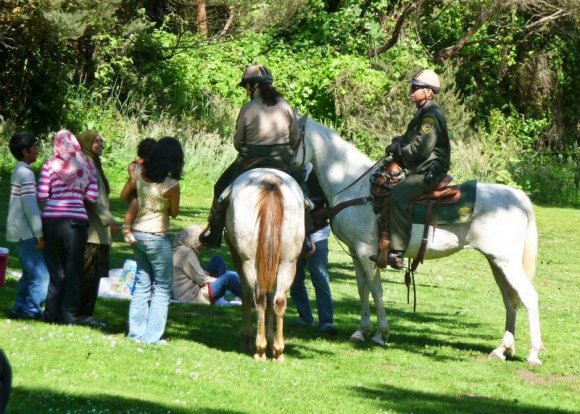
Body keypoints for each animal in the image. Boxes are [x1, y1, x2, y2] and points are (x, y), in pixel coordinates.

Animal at [223, 167, 306, 360]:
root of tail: (270, 180)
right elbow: (271, 299)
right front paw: (270, 341)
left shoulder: (238, 259)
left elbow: (247, 296)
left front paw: (249, 340)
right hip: (288, 263)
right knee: (279, 300)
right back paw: (278, 351)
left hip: (249, 261)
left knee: (259, 298)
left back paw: (259, 349)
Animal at [294, 117, 544, 366]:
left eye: (292, 138)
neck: (355, 186)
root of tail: (518, 198)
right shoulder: (356, 253)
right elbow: (362, 289)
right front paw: (361, 331)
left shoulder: (367, 252)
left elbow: (376, 290)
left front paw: (380, 334)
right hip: (497, 263)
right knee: (510, 299)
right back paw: (502, 350)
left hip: (508, 263)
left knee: (529, 297)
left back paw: (533, 354)